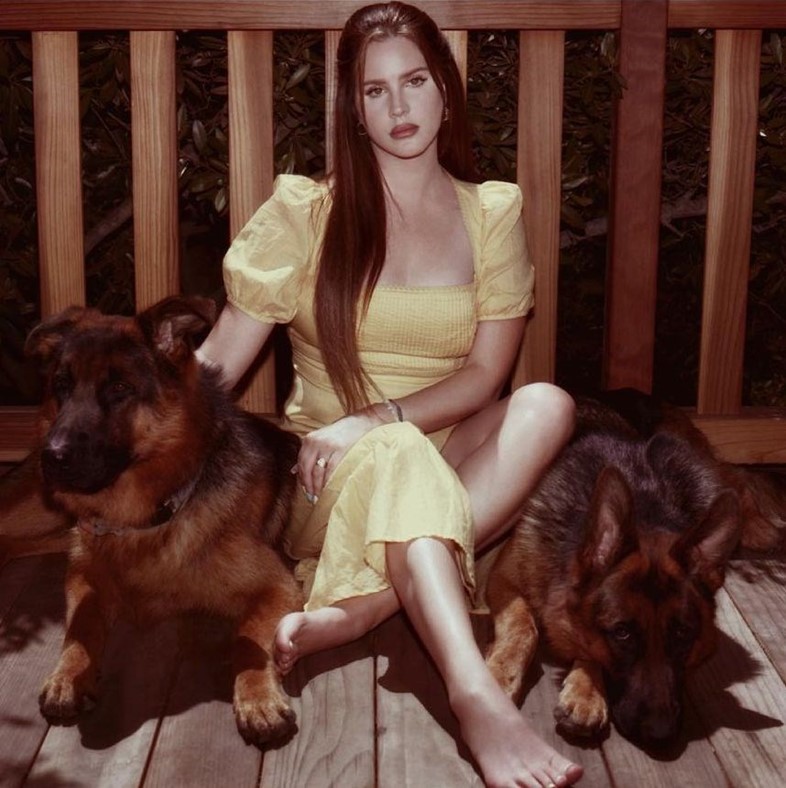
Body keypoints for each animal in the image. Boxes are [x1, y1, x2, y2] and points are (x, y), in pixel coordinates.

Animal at [22, 295, 302, 748]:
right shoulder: (83, 573)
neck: (151, 518)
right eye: (61, 386)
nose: (51, 457)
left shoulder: (277, 586)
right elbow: (81, 622)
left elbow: (247, 640)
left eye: (119, 389)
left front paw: (258, 700)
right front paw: (68, 676)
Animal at [485, 390, 782, 746]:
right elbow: (523, 626)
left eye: (682, 634)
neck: (644, 509)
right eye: (622, 633)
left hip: (688, 458)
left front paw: (586, 690)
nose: (659, 732)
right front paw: (501, 673)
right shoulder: (504, 575)